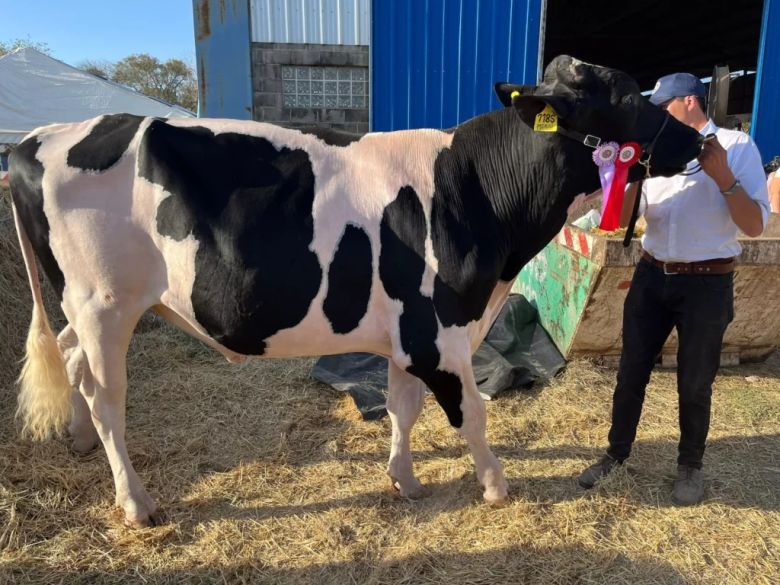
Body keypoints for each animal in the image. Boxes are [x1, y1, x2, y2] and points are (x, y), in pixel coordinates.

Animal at [7, 57, 700, 528]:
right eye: (626, 96)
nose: (698, 139)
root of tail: (39, 138)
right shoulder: (437, 333)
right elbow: (471, 412)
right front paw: (496, 485)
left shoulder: (405, 335)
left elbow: (403, 408)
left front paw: (405, 481)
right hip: (104, 304)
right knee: (106, 397)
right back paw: (136, 501)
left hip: (83, 306)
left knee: (70, 360)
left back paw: (77, 441)